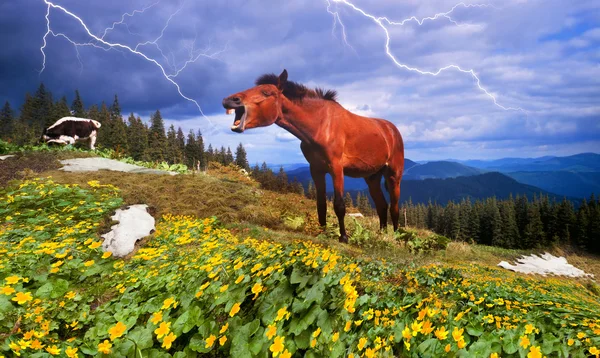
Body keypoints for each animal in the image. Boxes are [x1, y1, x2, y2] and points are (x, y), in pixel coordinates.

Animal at [223, 69, 406, 243]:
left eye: (267, 92)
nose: (229, 100)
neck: (320, 126)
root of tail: (392, 130)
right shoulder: (316, 170)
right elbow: (321, 205)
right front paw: (322, 232)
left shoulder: (336, 168)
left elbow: (339, 205)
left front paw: (343, 237)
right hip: (372, 177)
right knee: (382, 206)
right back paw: (381, 235)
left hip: (393, 175)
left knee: (394, 207)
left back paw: (397, 237)